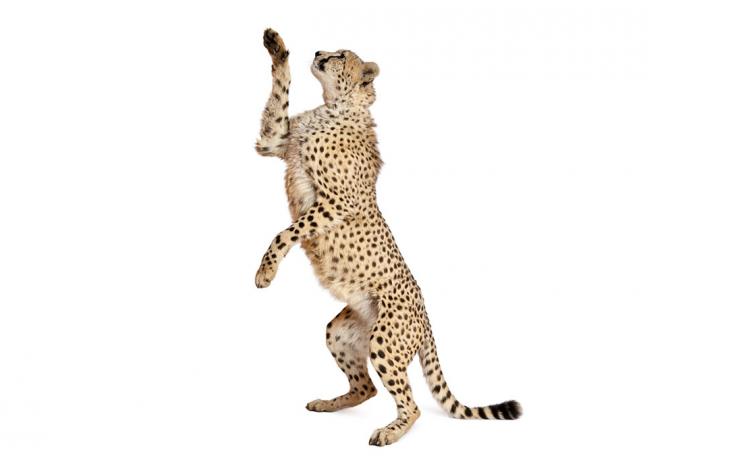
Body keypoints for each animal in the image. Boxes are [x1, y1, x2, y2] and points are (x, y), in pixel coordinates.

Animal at [253, 28, 522, 446]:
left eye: (340, 54)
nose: (318, 52)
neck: (335, 106)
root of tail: (427, 319)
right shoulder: (274, 141)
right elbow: (279, 92)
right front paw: (276, 45)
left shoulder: (337, 204)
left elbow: (284, 233)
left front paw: (265, 272)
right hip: (341, 331)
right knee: (366, 388)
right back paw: (329, 404)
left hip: (385, 339)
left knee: (410, 404)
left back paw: (390, 432)